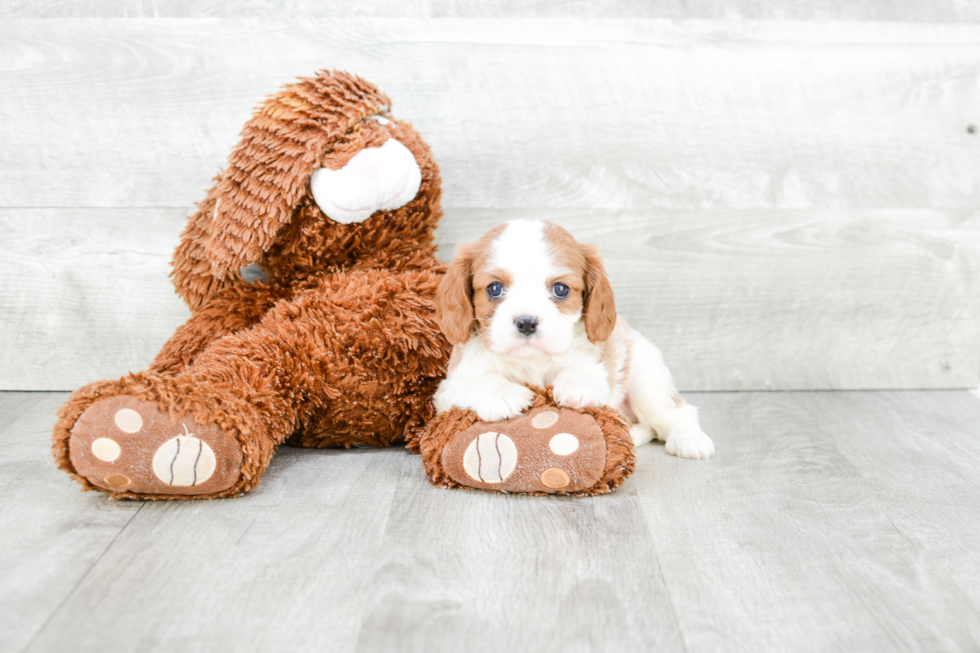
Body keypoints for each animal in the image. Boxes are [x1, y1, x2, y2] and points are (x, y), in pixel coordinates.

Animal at [432, 219, 716, 458]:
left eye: (560, 289)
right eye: (494, 288)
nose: (526, 322)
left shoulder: (598, 369)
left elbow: (582, 371)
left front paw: (575, 384)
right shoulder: (447, 390)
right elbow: (481, 380)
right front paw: (503, 393)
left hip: (648, 382)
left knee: (677, 412)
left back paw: (689, 439)